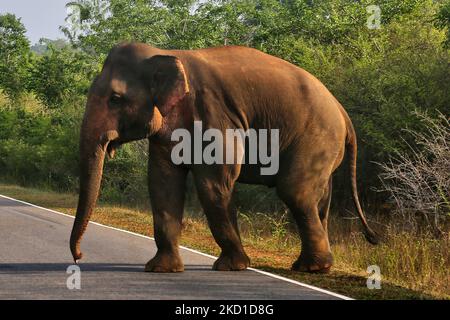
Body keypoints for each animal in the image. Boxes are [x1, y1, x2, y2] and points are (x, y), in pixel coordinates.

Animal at [69, 42, 380, 272]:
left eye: (115, 99)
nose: (79, 256)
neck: (168, 54)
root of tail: (343, 112)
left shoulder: (213, 114)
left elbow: (213, 183)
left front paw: (232, 267)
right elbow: (162, 182)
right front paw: (160, 269)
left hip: (316, 137)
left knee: (296, 192)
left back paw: (312, 268)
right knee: (319, 200)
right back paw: (312, 266)